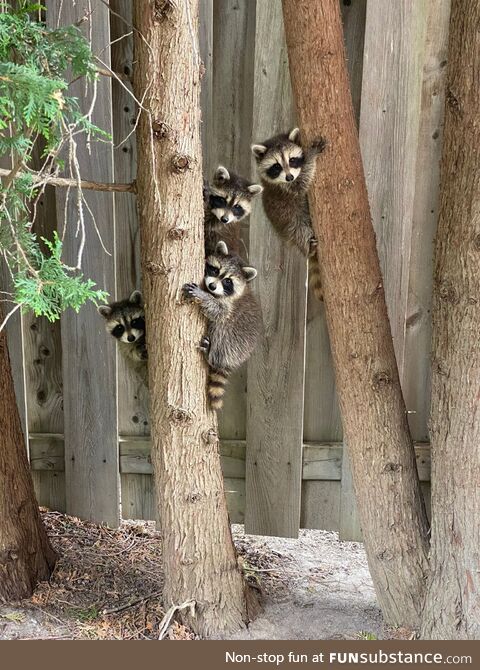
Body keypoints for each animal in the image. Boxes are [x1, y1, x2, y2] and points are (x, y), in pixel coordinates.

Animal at [182, 241, 261, 410]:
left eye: (227, 281)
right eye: (215, 270)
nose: (212, 286)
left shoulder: (229, 307)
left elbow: (218, 312)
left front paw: (203, 296)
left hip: (233, 342)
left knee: (220, 331)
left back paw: (210, 355)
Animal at [251, 127, 326, 301]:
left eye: (292, 160)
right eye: (276, 166)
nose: (289, 176)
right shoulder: (287, 189)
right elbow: (302, 181)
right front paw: (312, 156)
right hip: (291, 224)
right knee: (300, 231)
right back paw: (308, 247)